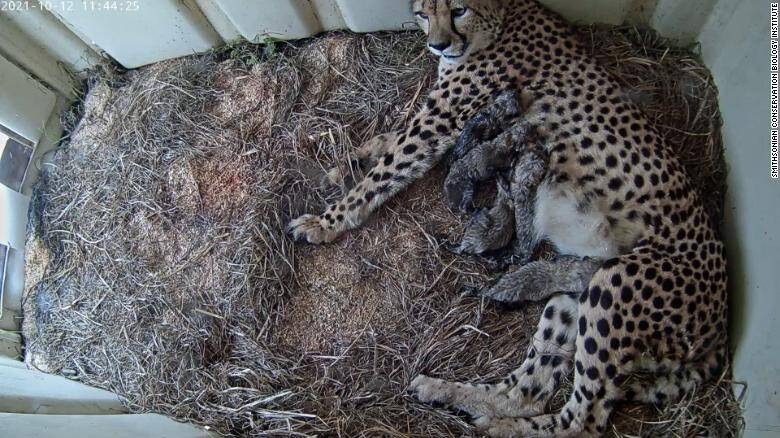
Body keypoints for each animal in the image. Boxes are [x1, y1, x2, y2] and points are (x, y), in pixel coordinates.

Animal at [290, 1, 728, 436]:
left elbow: (388, 167)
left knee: (585, 418)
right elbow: (389, 142)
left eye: (458, 9)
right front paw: (345, 163)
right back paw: (452, 395)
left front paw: (326, 221)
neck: (500, 20)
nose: (438, 44)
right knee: (527, 391)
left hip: (616, 284)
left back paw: (502, 423)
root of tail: (721, 317)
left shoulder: (441, 119)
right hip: (579, 286)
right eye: (422, 13)